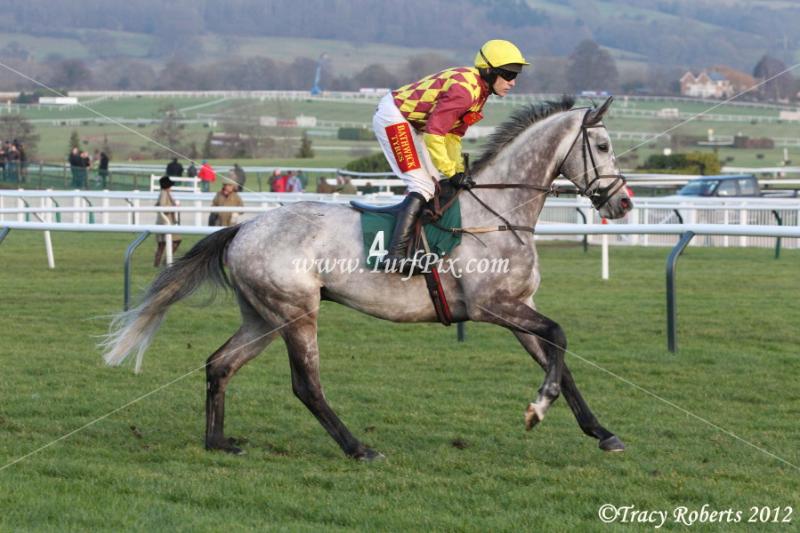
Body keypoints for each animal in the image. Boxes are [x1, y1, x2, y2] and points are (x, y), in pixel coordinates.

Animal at [103, 96, 633, 459]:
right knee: (306, 386)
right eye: (603, 145)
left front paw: (602, 432)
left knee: (219, 364)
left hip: (263, 316)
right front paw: (537, 408)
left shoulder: (519, 307)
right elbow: (559, 337)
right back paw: (357, 447)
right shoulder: (492, 306)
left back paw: (218, 441)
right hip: (297, 313)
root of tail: (244, 227)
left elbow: (559, 360)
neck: (498, 212)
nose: (623, 203)